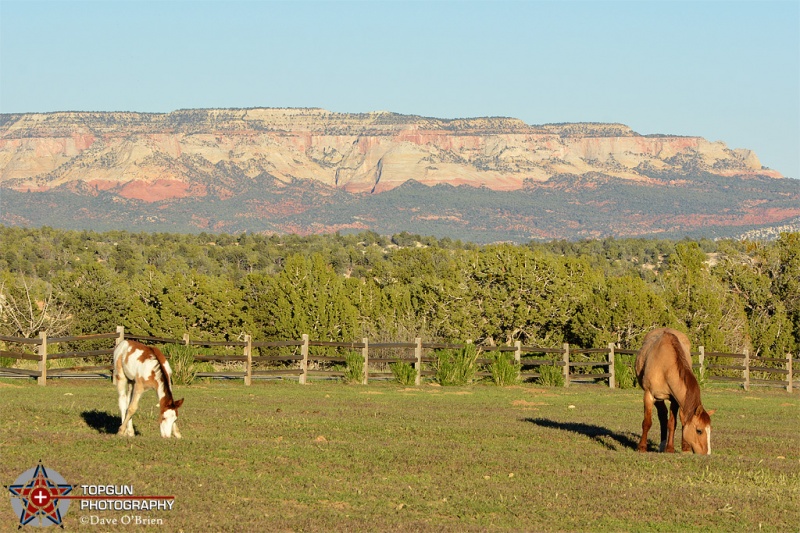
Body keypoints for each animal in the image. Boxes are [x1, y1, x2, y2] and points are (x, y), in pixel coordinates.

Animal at [636, 326, 712, 456]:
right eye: (699, 431)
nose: (707, 454)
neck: (665, 367)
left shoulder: (675, 400)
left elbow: (672, 424)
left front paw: (670, 448)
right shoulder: (649, 395)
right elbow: (647, 422)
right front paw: (642, 447)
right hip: (658, 398)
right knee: (662, 416)